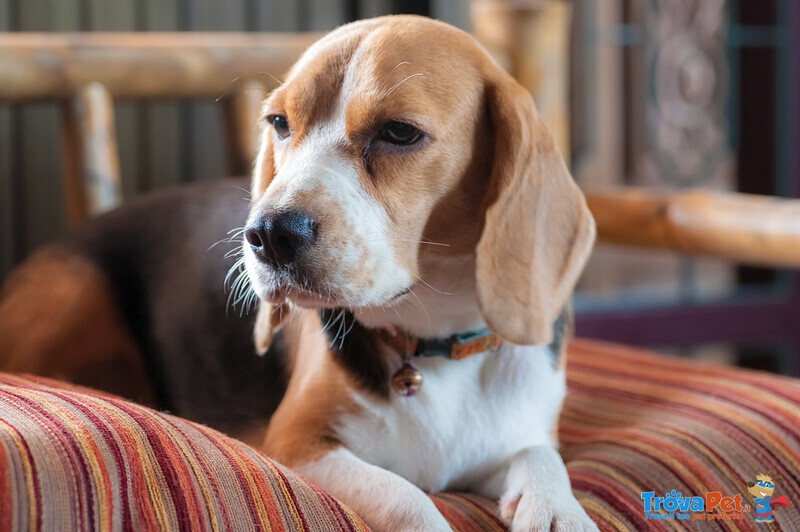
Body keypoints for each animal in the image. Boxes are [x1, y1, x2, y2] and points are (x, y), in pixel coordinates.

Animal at [242, 14, 592, 528]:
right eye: (280, 123)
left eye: (399, 132)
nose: (267, 233)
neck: (436, 344)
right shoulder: (293, 443)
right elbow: (405, 495)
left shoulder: (510, 442)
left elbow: (540, 456)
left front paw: (555, 508)